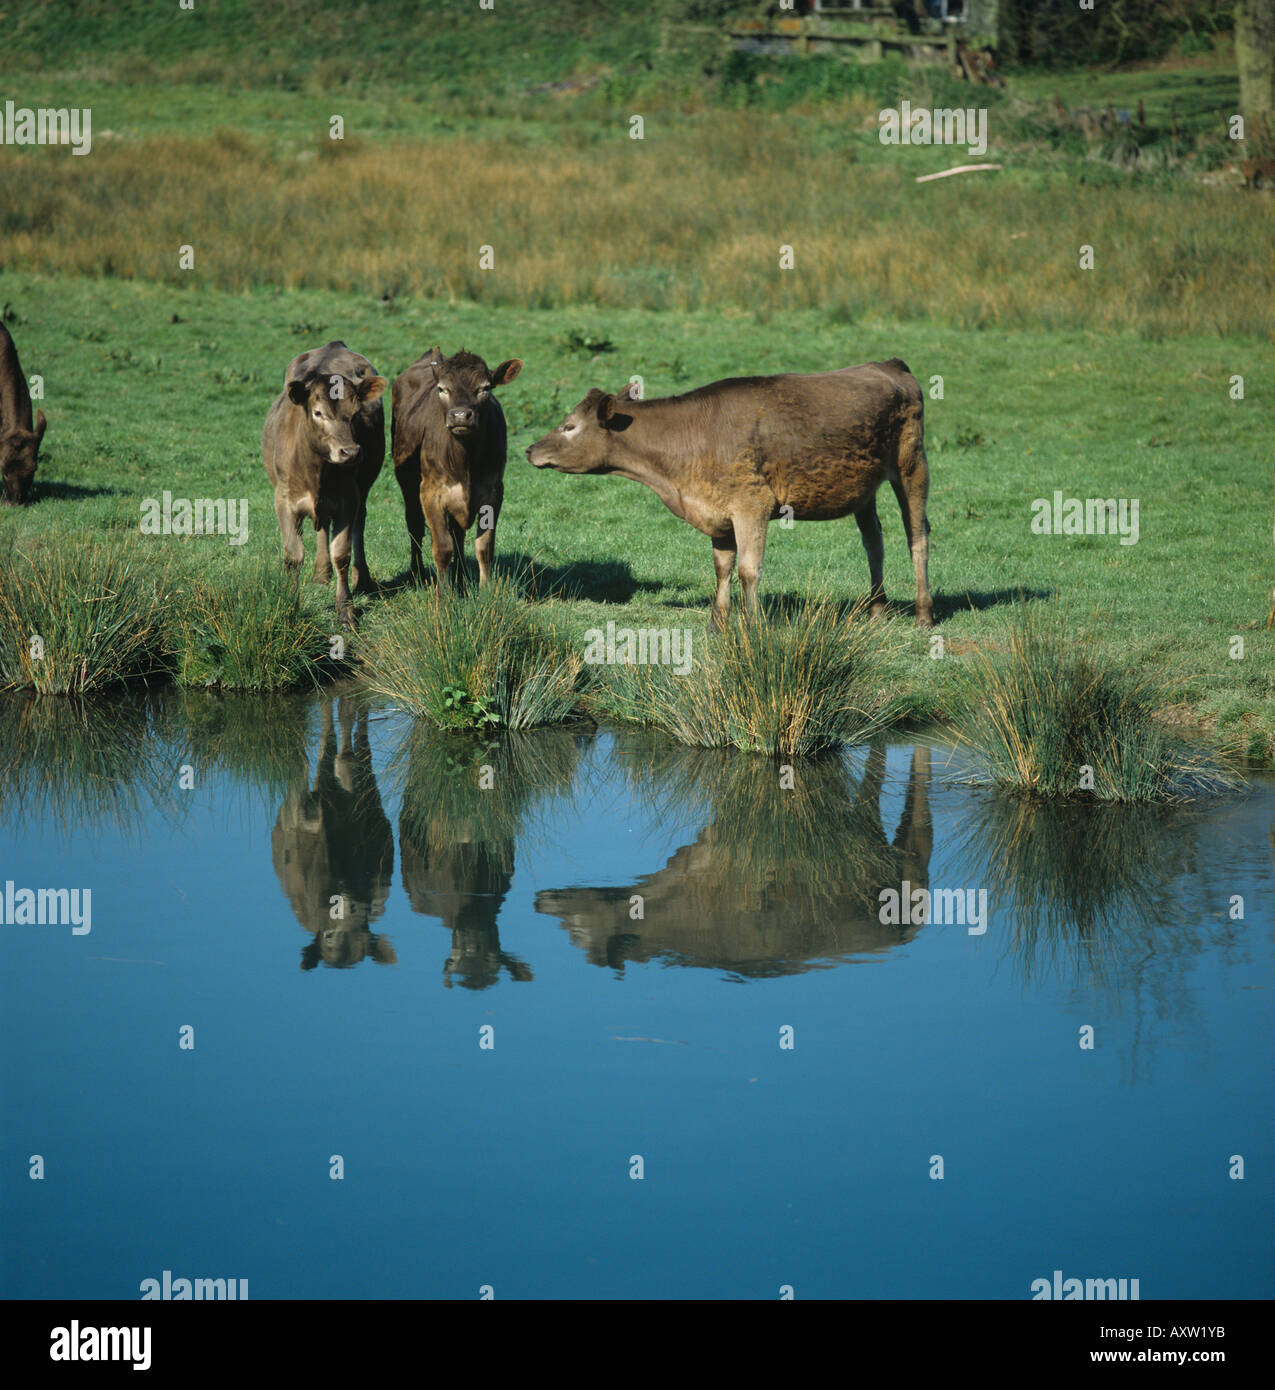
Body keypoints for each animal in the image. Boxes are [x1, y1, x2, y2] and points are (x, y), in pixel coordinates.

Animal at [264, 339, 389, 628]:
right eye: (318, 413)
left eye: (356, 413)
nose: (350, 452)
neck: (316, 473)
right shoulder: (283, 500)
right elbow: (293, 555)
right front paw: (290, 603)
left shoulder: (349, 499)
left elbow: (341, 553)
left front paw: (346, 609)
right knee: (321, 529)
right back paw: (321, 573)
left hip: (363, 490)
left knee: (359, 525)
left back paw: (362, 579)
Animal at [392, 350, 522, 589]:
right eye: (442, 389)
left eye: (485, 388)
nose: (461, 416)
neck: (465, 463)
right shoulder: (431, 492)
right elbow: (442, 547)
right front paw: (444, 594)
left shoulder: (493, 492)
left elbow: (484, 547)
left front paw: (486, 591)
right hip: (407, 482)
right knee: (414, 525)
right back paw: (418, 573)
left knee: (457, 532)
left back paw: (460, 577)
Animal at [522, 358, 928, 625]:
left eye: (569, 426)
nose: (529, 450)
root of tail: (888, 364)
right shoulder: (717, 513)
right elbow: (722, 567)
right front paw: (719, 622)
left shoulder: (753, 505)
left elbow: (749, 569)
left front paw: (755, 625)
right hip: (864, 489)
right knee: (874, 543)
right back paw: (877, 611)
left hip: (912, 468)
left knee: (917, 536)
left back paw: (924, 614)